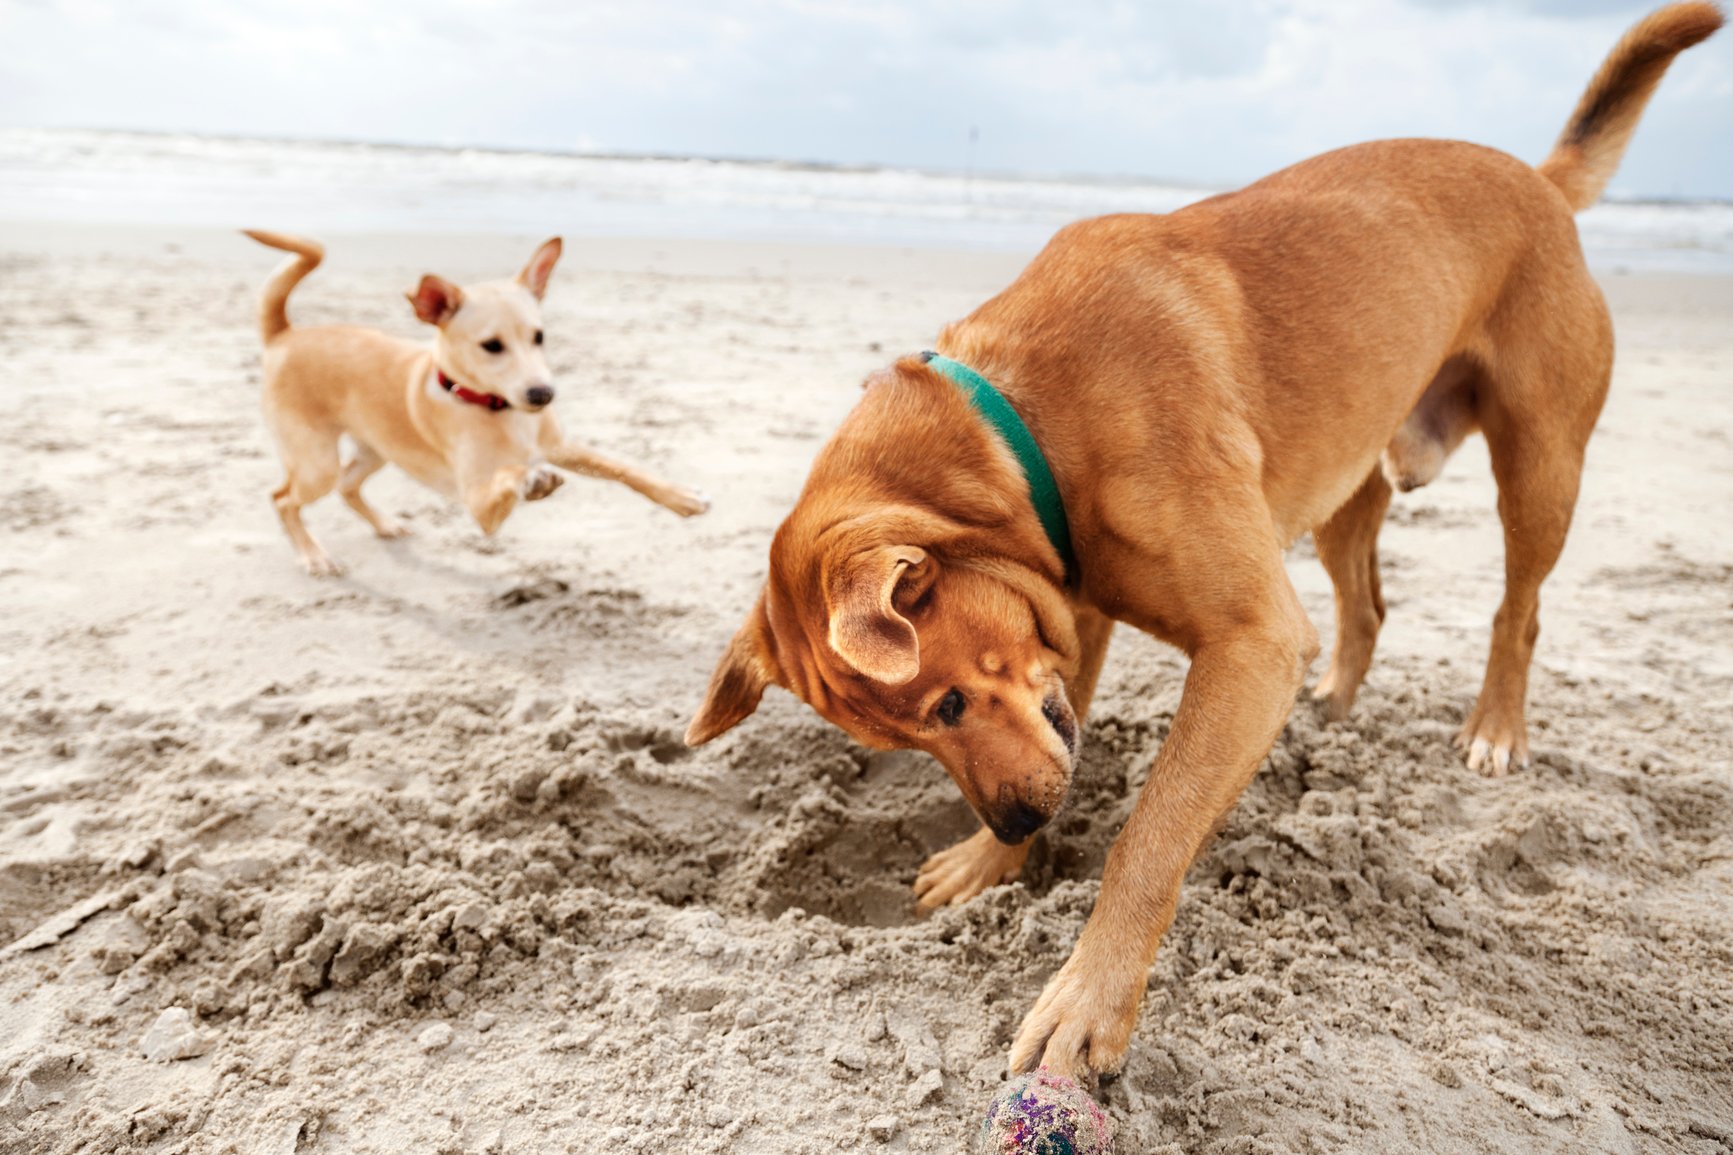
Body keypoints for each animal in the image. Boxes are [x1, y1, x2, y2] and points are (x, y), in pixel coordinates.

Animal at [240, 232, 707, 572]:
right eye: (491, 346)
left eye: (539, 336)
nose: (542, 394)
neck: (499, 409)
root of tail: (285, 334)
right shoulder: (479, 507)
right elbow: (508, 476)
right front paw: (531, 480)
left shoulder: (561, 446)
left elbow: (622, 467)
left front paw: (680, 497)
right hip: (315, 461)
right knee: (283, 498)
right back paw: (313, 555)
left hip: (377, 449)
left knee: (347, 486)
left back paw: (386, 525)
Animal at [686, 2, 1719, 1082]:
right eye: (909, 733)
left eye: (947, 703)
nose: (1013, 820)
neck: (1023, 422)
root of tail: (1537, 180)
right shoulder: (1072, 622)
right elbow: (1073, 742)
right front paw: (991, 861)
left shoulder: (1245, 643)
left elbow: (1146, 836)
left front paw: (1086, 1000)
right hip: (1347, 484)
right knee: (1366, 603)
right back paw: (1331, 705)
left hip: (1539, 469)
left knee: (1516, 610)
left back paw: (1494, 730)